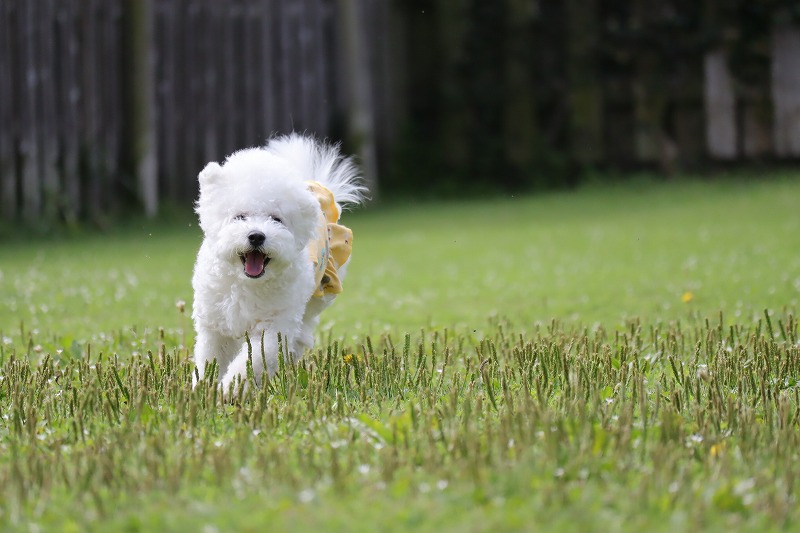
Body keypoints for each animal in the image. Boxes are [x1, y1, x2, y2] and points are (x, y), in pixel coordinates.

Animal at [191, 134, 366, 389]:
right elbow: (210, 361)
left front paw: (230, 388)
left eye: (277, 219)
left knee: (302, 332)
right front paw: (203, 389)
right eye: (240, 217)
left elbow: (252, 361)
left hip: (318, 293)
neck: (247, 283)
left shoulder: (274, 327)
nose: (256, 236)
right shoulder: (216, 326)